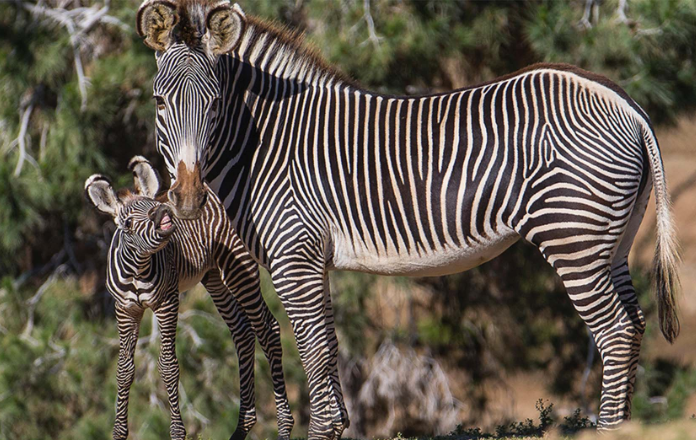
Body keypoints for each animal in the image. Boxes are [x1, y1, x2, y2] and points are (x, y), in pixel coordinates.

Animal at [84, 156, 294, 440]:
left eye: (154, 207)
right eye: (127, 223)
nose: (163, 216)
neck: (138, 270)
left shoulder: (167, 302)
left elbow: (168, 366)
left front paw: (176, 432)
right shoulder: (125, 310)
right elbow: (124, 370)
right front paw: (118, 433)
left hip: (239, 267)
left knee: (267, 328)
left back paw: (284, 426)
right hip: (213, 275)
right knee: (242, 331)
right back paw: (242, 427)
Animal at [135, 0, 680, 437]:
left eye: (214, 103)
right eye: (160, 102)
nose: (187, 198)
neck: (263, 143)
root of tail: (625, 102)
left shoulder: (295, 259)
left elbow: (315, 357)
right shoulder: (315, 262)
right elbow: (330, 355)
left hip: (572, 236)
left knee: (614, 332)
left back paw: (610, 430)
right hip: (611, 242)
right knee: (634, 326)